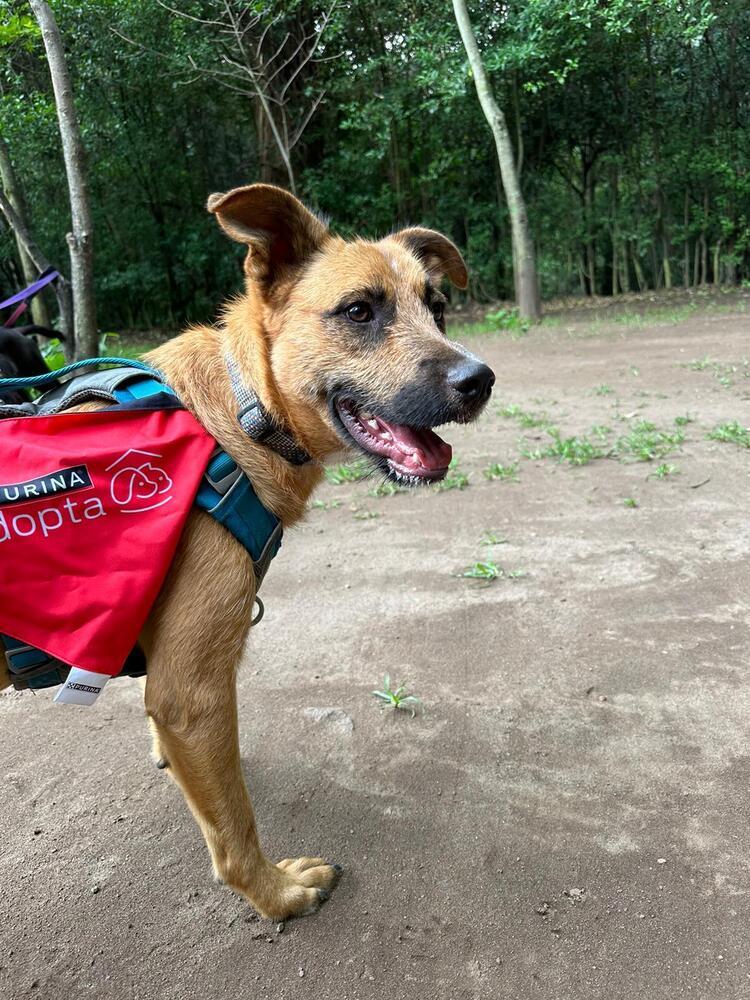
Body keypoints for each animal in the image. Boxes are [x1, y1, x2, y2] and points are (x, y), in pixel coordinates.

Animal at [8, 184, 500, 916]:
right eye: (359, 310)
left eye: (436, 308)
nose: (480, 379)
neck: (240, 415)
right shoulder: (195, 694)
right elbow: (234, 824)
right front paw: (277, 894)